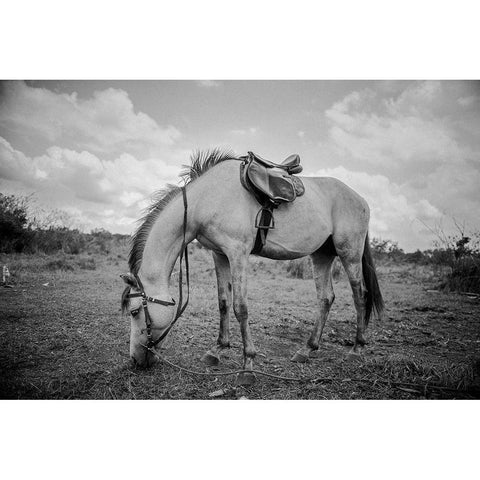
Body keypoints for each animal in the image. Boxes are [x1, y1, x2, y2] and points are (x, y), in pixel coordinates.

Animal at [122, 148, 384, 384]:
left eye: (135, 311)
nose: (135, 360)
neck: (205, 200)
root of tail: (360, 199)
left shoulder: (238, 254)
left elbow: (241, 308)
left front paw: (247, 365)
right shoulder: (219, 255)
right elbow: (223, 303)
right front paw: (217, 350)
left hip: (349, 253)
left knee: (360, 295)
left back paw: (357, 349)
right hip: (322, 255)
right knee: (326, 298)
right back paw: (307, 350)